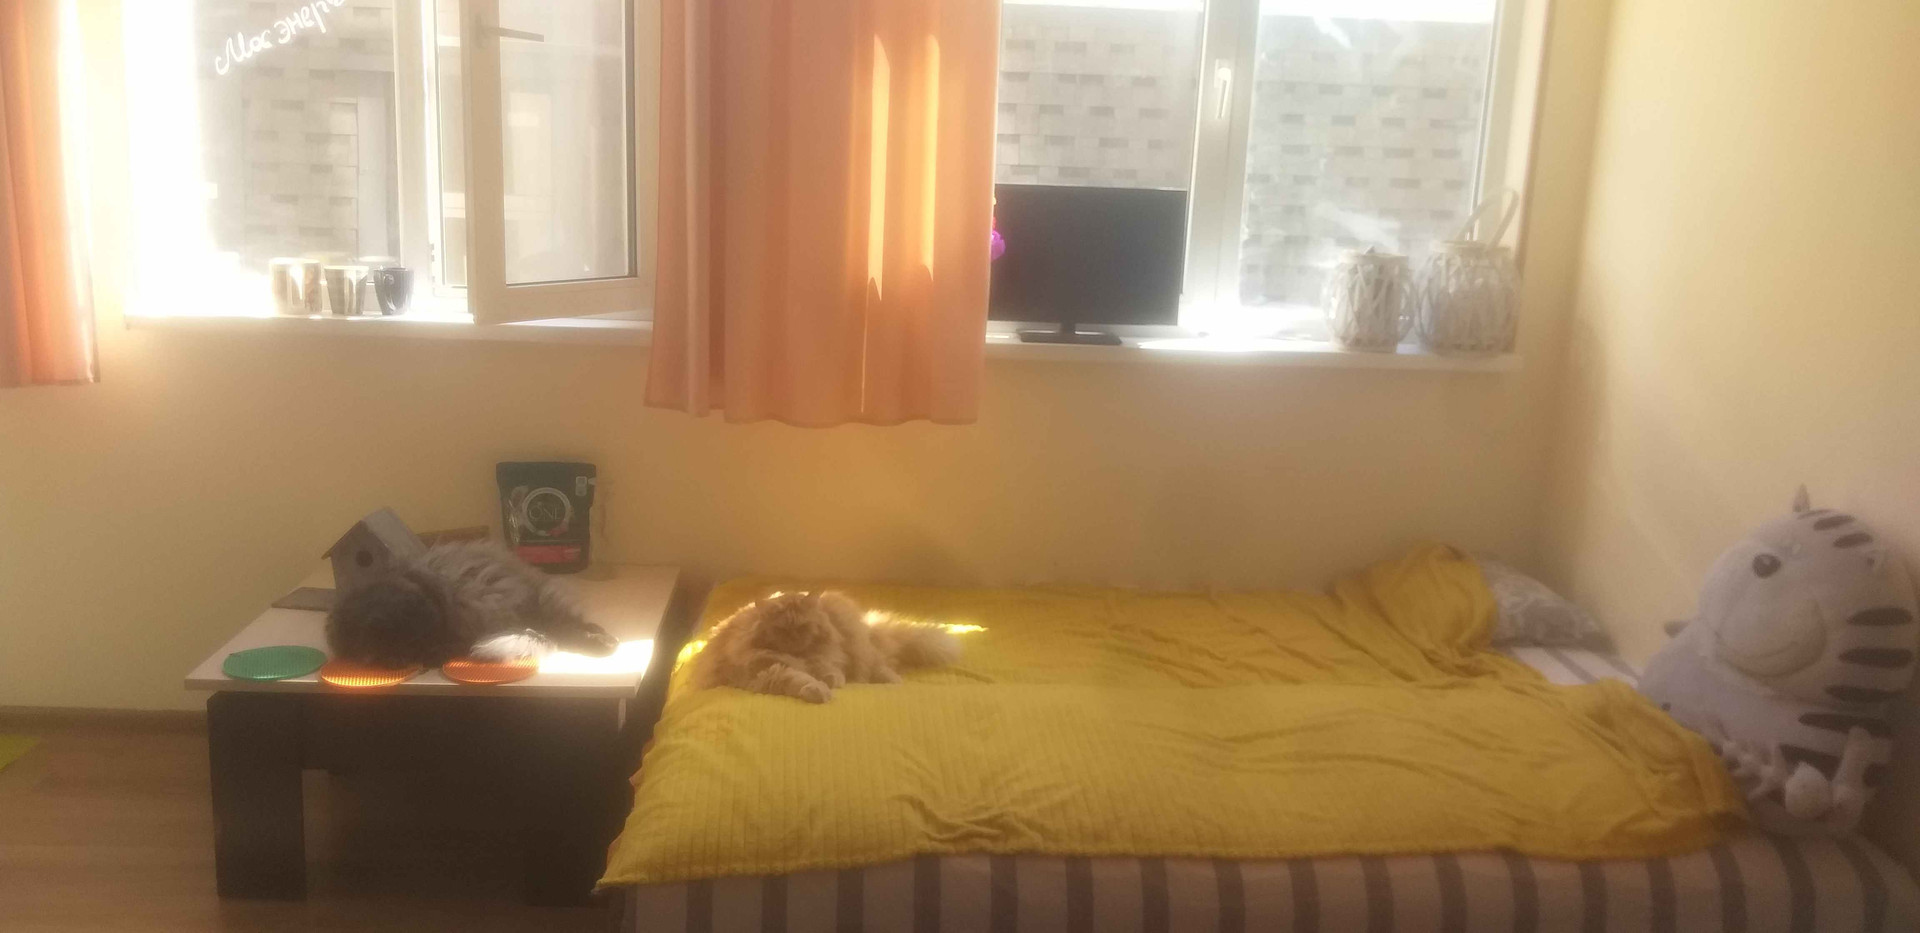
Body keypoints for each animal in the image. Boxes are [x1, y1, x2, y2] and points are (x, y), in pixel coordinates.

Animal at [688, 590, 960, 703]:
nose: (793, 639)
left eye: (803, 627)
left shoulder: (827, 654)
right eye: (780, 630)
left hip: (858, 643)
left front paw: (832, 681)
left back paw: (891, 681)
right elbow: (798, 679)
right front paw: (818, 691)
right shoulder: (765, 671)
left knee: (876, 664)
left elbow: (827, 667)